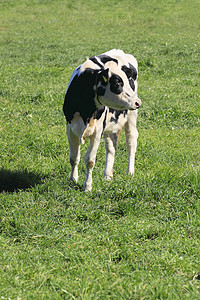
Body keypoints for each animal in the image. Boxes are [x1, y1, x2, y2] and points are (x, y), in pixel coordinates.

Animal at [63, 48, 141, 191]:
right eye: (117, 83)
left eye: (128, 80)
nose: (138, 102)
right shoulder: (70, 129)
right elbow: (73, 157)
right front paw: (73, 179)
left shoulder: (97, 131)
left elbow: (90, 160)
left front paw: (87, 186)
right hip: (111, 125)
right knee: (111, 146)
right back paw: (107, 175)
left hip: (131, 116)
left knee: (131, 141)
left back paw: (130, 172)